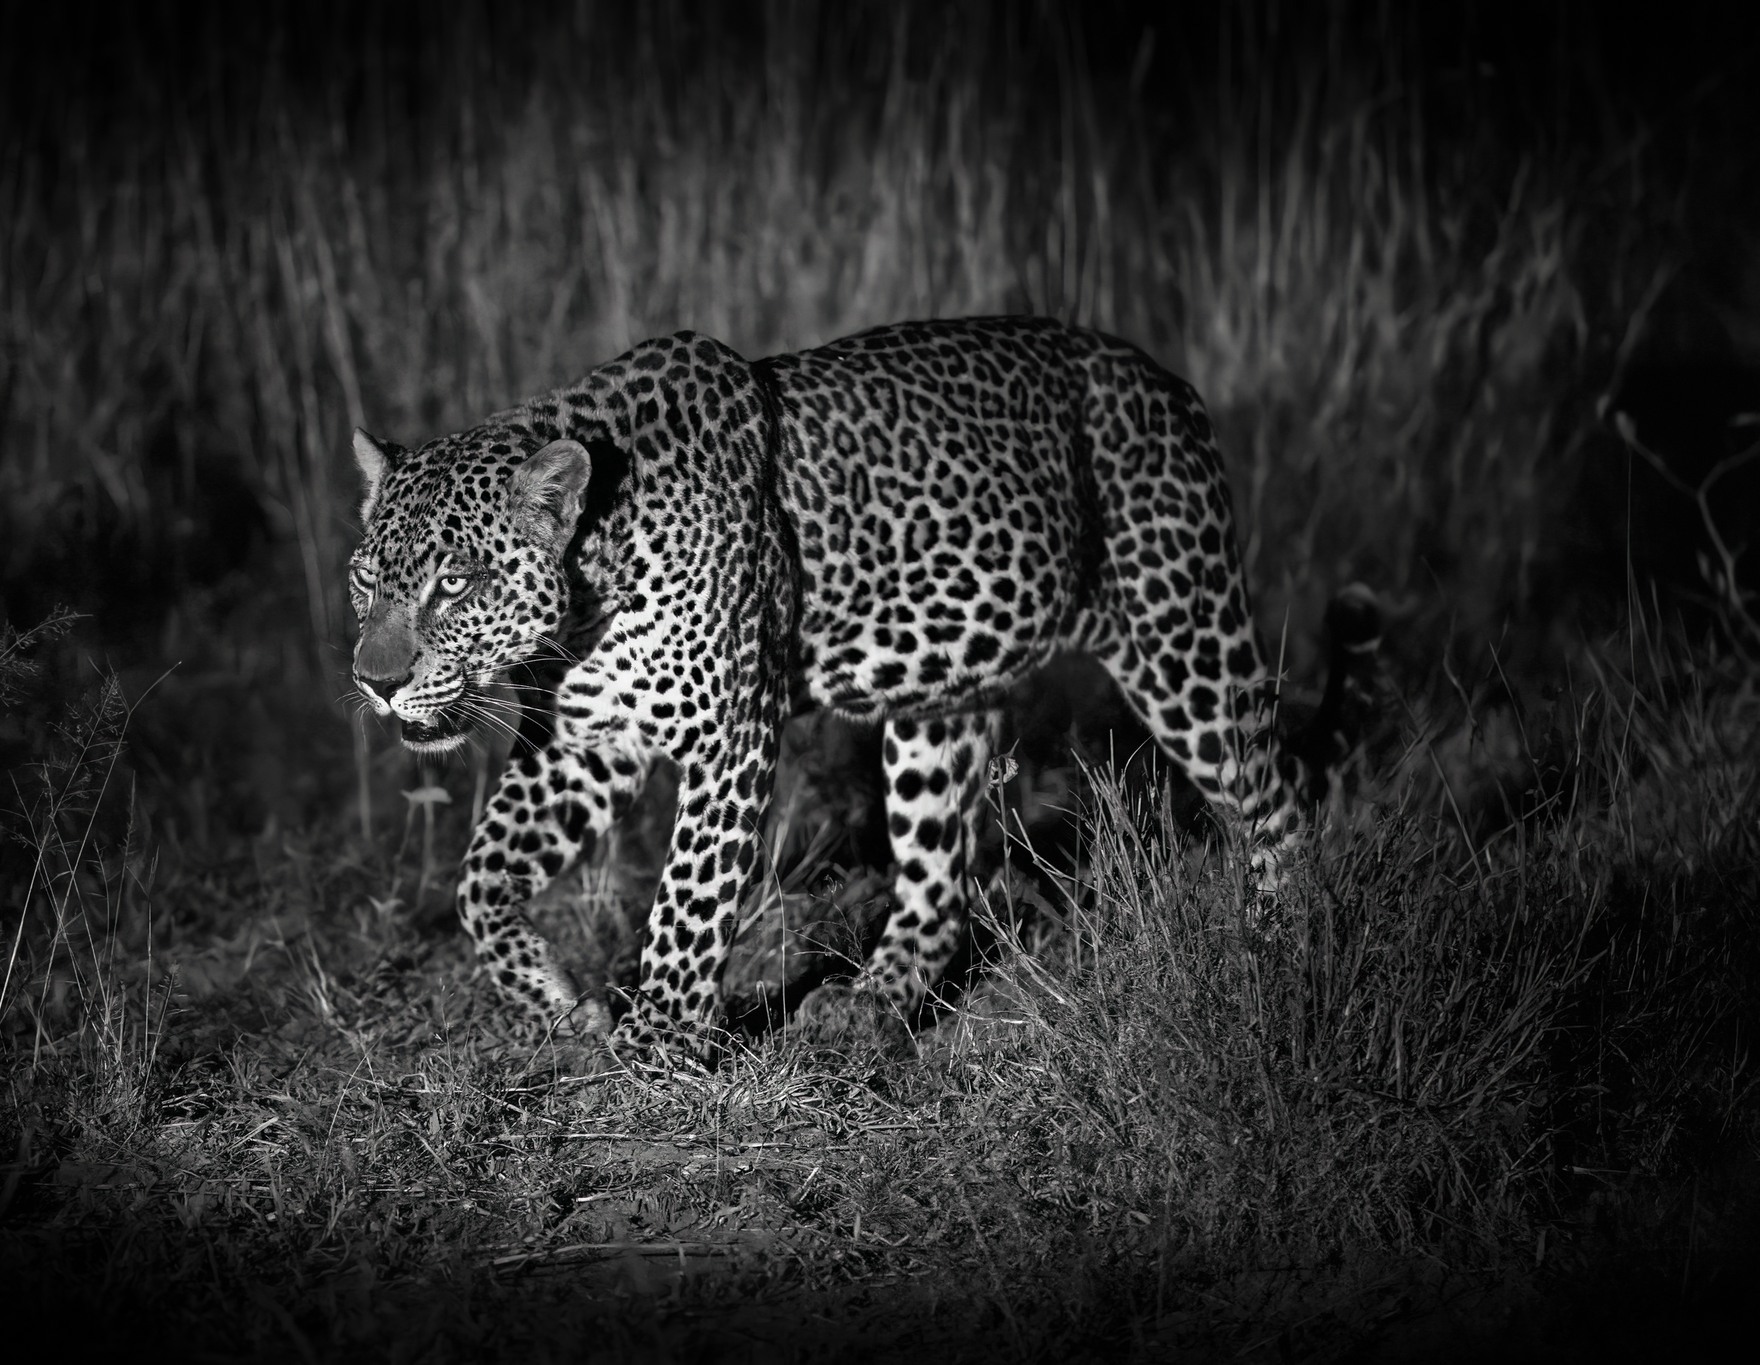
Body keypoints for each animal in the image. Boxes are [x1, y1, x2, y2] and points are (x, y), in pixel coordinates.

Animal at [350, 316, 1379, 1055]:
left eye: (455, 582)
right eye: (366, 579)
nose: (375, 680)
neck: (587, 587)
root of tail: (1174, 385)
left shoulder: (728, 734)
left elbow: (687, 902)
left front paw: (654, 1046)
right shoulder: (587, 740)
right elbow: (479, 880)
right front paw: (561, 1007)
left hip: (1180, 634)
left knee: (1278, 790)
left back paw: (1277, 952)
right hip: (939, 705)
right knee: (940, 883)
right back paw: (868, 1007)